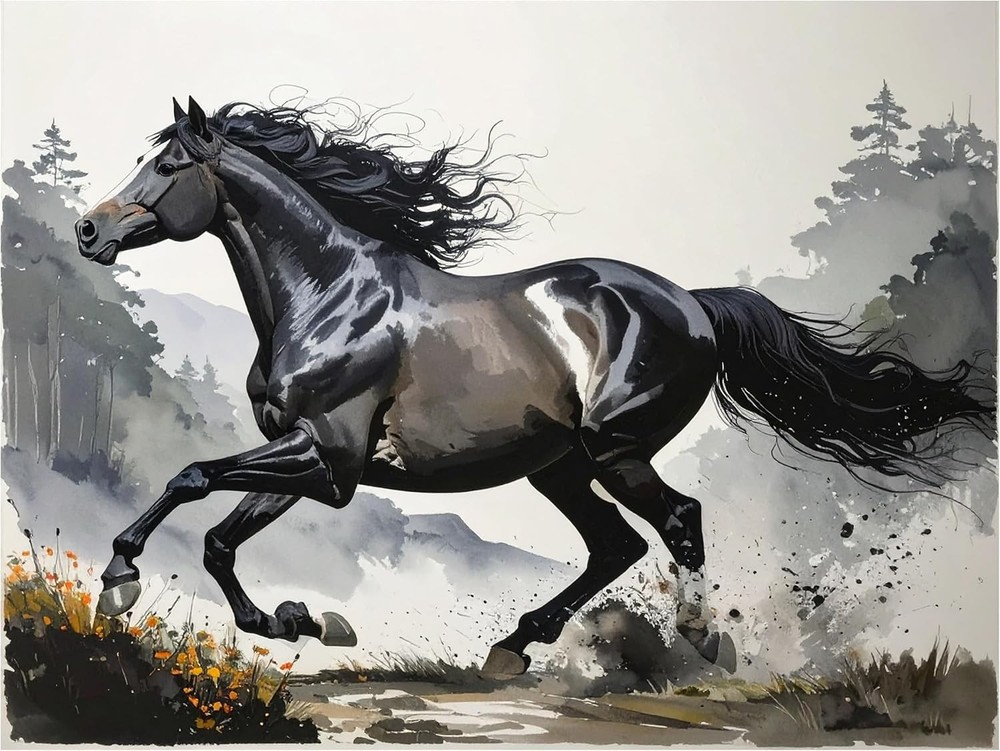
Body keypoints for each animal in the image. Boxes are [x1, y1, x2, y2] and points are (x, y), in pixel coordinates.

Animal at [75, 96, 992, 677]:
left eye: (167, 164)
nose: (89, 230)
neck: (328, 292)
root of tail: (694, 302)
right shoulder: (306, 457)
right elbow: (217, 537)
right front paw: (304, 620)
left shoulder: (328, 462)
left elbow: (192, 480)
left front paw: (121, 578)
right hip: (558, 464)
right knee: (616, 544)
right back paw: (516, 642)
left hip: (614, 449)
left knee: (678, 520)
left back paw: (701, 637)